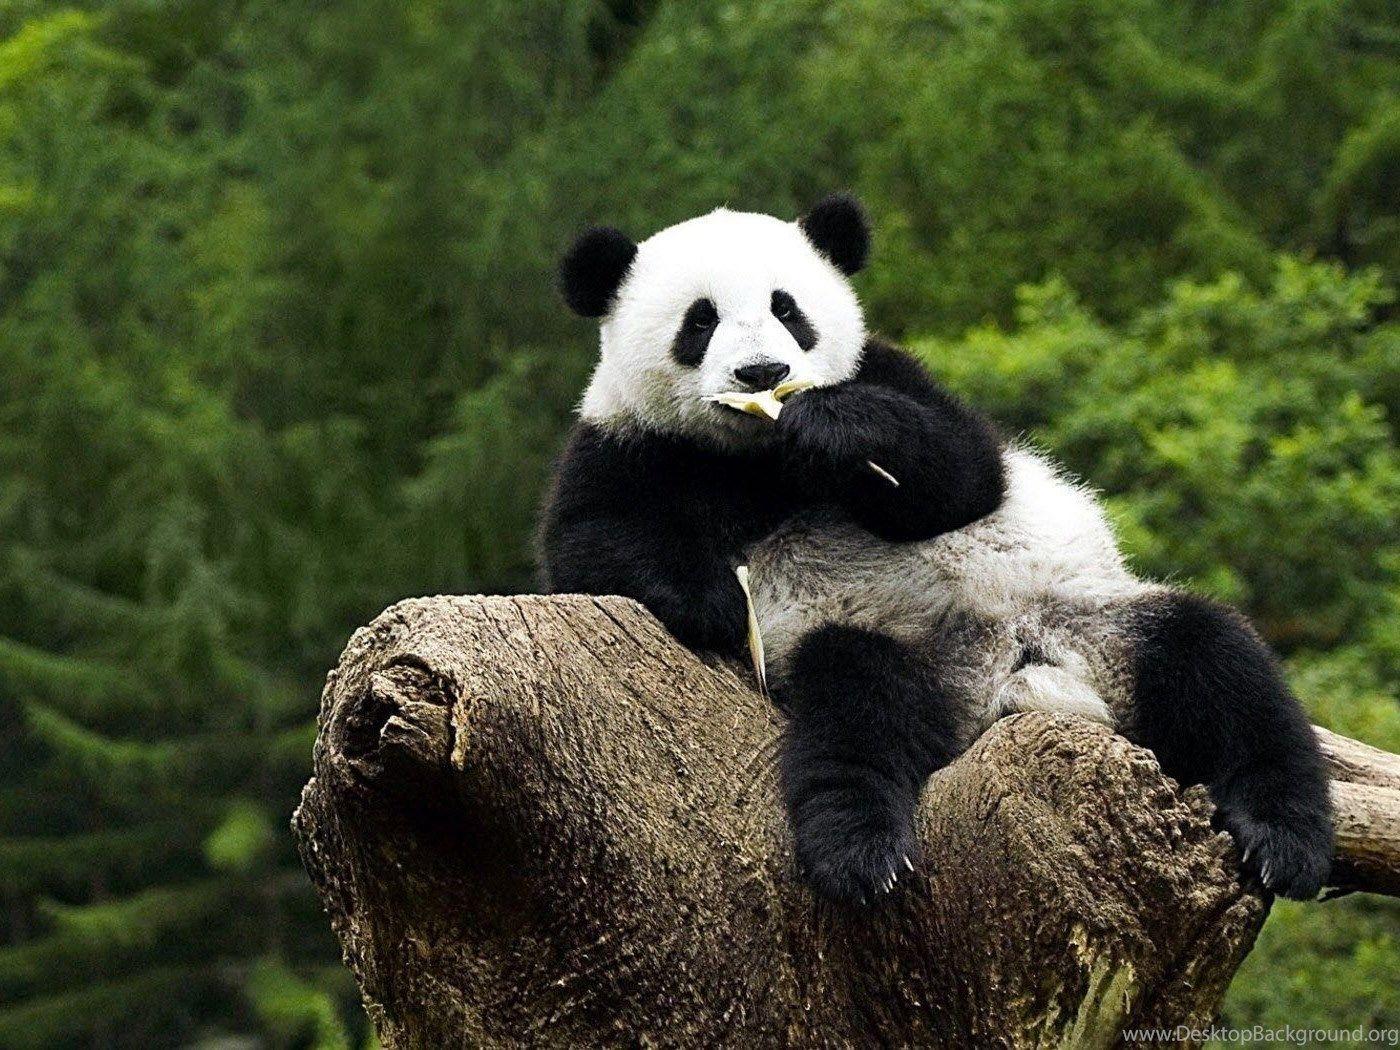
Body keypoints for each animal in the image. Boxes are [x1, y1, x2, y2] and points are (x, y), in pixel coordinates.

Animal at [539, 195, 1333, 906]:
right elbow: (590, 543)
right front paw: (715, 601)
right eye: (699, 321)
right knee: (857, 712)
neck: (757, 455)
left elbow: (964, 472)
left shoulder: (891, 374)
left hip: (1098, 619)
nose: (763, 374)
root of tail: (1014, 675)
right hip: (887, 646)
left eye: (788, 309)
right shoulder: (627, 444)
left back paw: (1282, 838)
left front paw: (835, 428)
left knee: (1221, 666)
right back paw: (861, 852)